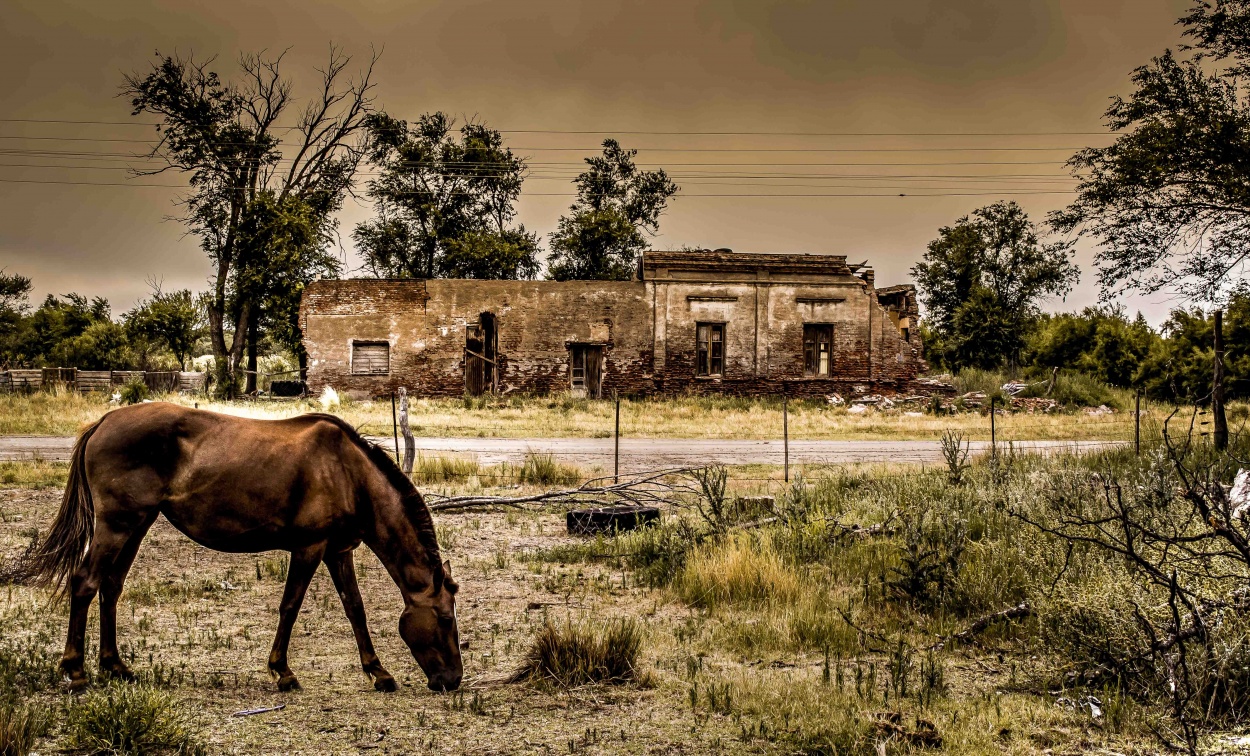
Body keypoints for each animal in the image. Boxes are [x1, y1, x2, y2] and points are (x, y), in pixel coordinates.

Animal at [12, 404, 462, 694]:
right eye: (444, 619)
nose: (453, 680)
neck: (348, 473)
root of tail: (103, 420)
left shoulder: (338, 551)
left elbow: (355, 609)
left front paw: (378, 673)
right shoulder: (309, 549)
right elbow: (290, 607)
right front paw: (282, 672)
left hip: (135, 526)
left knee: (111, 588)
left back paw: (116, 666)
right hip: (115, 526)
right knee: (85, 583)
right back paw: (76, 672)